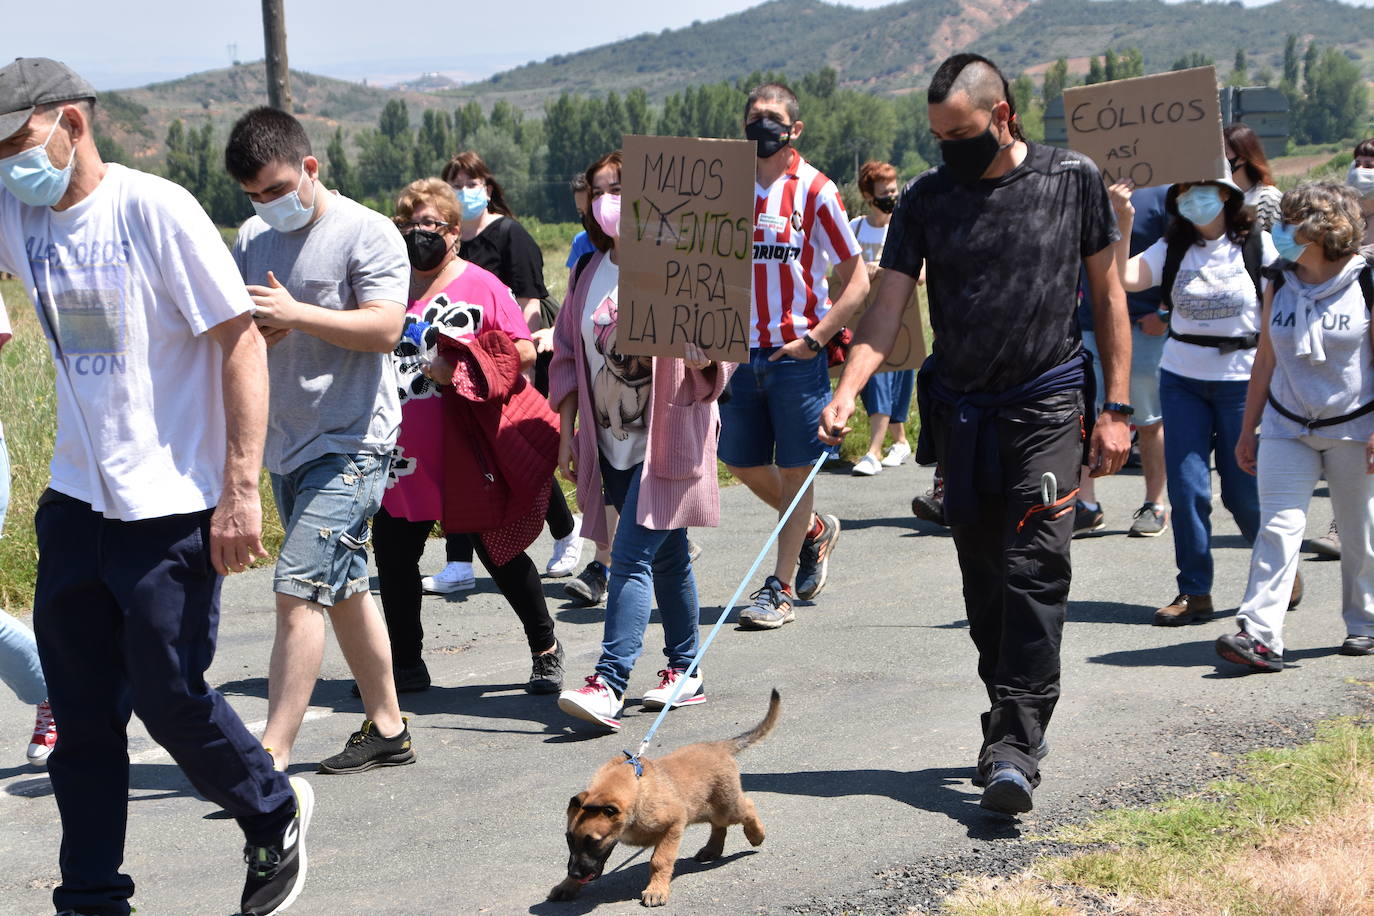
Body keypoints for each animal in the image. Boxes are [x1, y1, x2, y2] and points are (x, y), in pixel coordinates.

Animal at [549, 692, 785, 906]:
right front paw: (567, 885)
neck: (637, 794)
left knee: (747, 807)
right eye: (569, 839)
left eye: (594, 841)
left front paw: (656, 890)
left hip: (725, 807)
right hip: (704, 809)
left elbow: (660, 860)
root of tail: (718, 746)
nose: (575, 874)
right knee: (718, 825)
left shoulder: (673, 826)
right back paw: (712, 849)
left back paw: (756, 835)